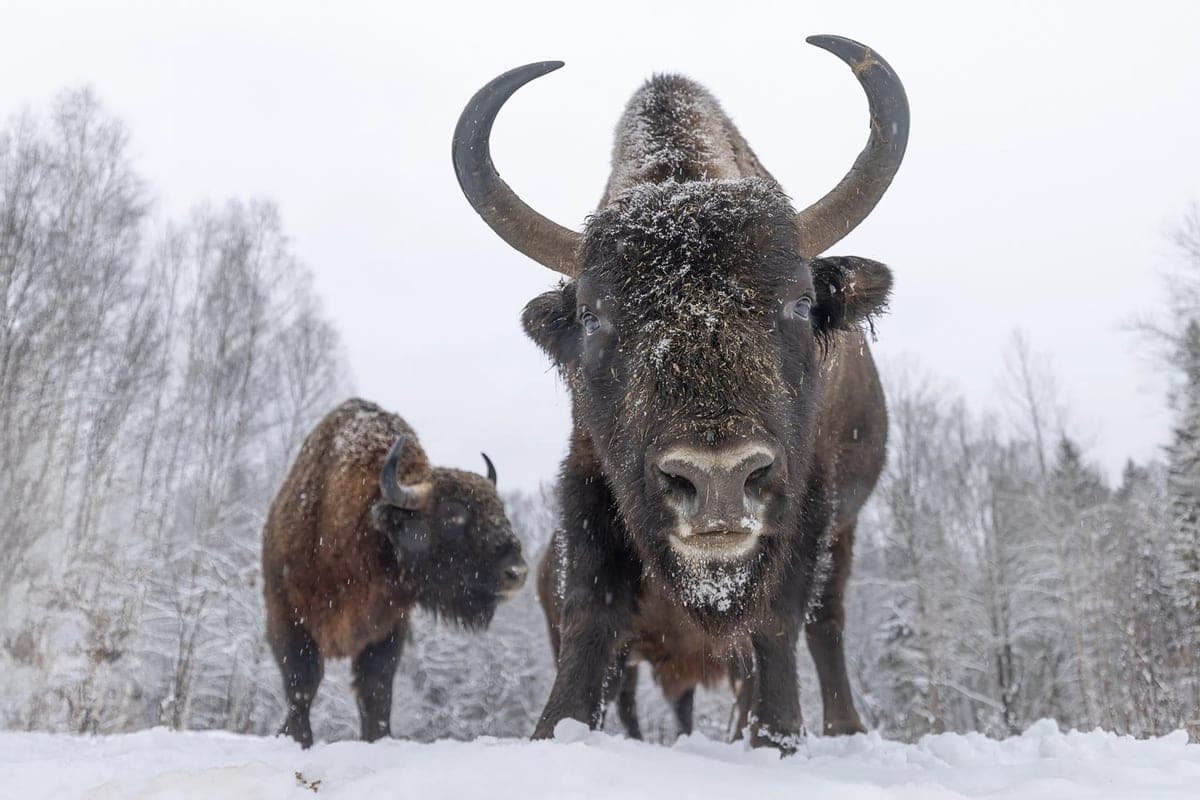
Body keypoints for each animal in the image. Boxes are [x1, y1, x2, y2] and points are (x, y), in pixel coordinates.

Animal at [262, 398, 527, 746]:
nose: (517, 571)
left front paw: (378, 739)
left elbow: (376, 689)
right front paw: (301, 741)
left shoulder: (388, 627)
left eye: (500, 510)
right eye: (453, 514)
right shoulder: (288, 616)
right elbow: (302, 684)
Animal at [453, 35, 907, 750]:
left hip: (845, 529)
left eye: (800, 302)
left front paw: (779, 738)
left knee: (823, 623)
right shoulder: (590, 476)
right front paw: (557, 733)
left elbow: (778, 619)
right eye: (594, 318)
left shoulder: (810, 492)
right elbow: (592, 610)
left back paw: (838, 728)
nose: (718, 479)